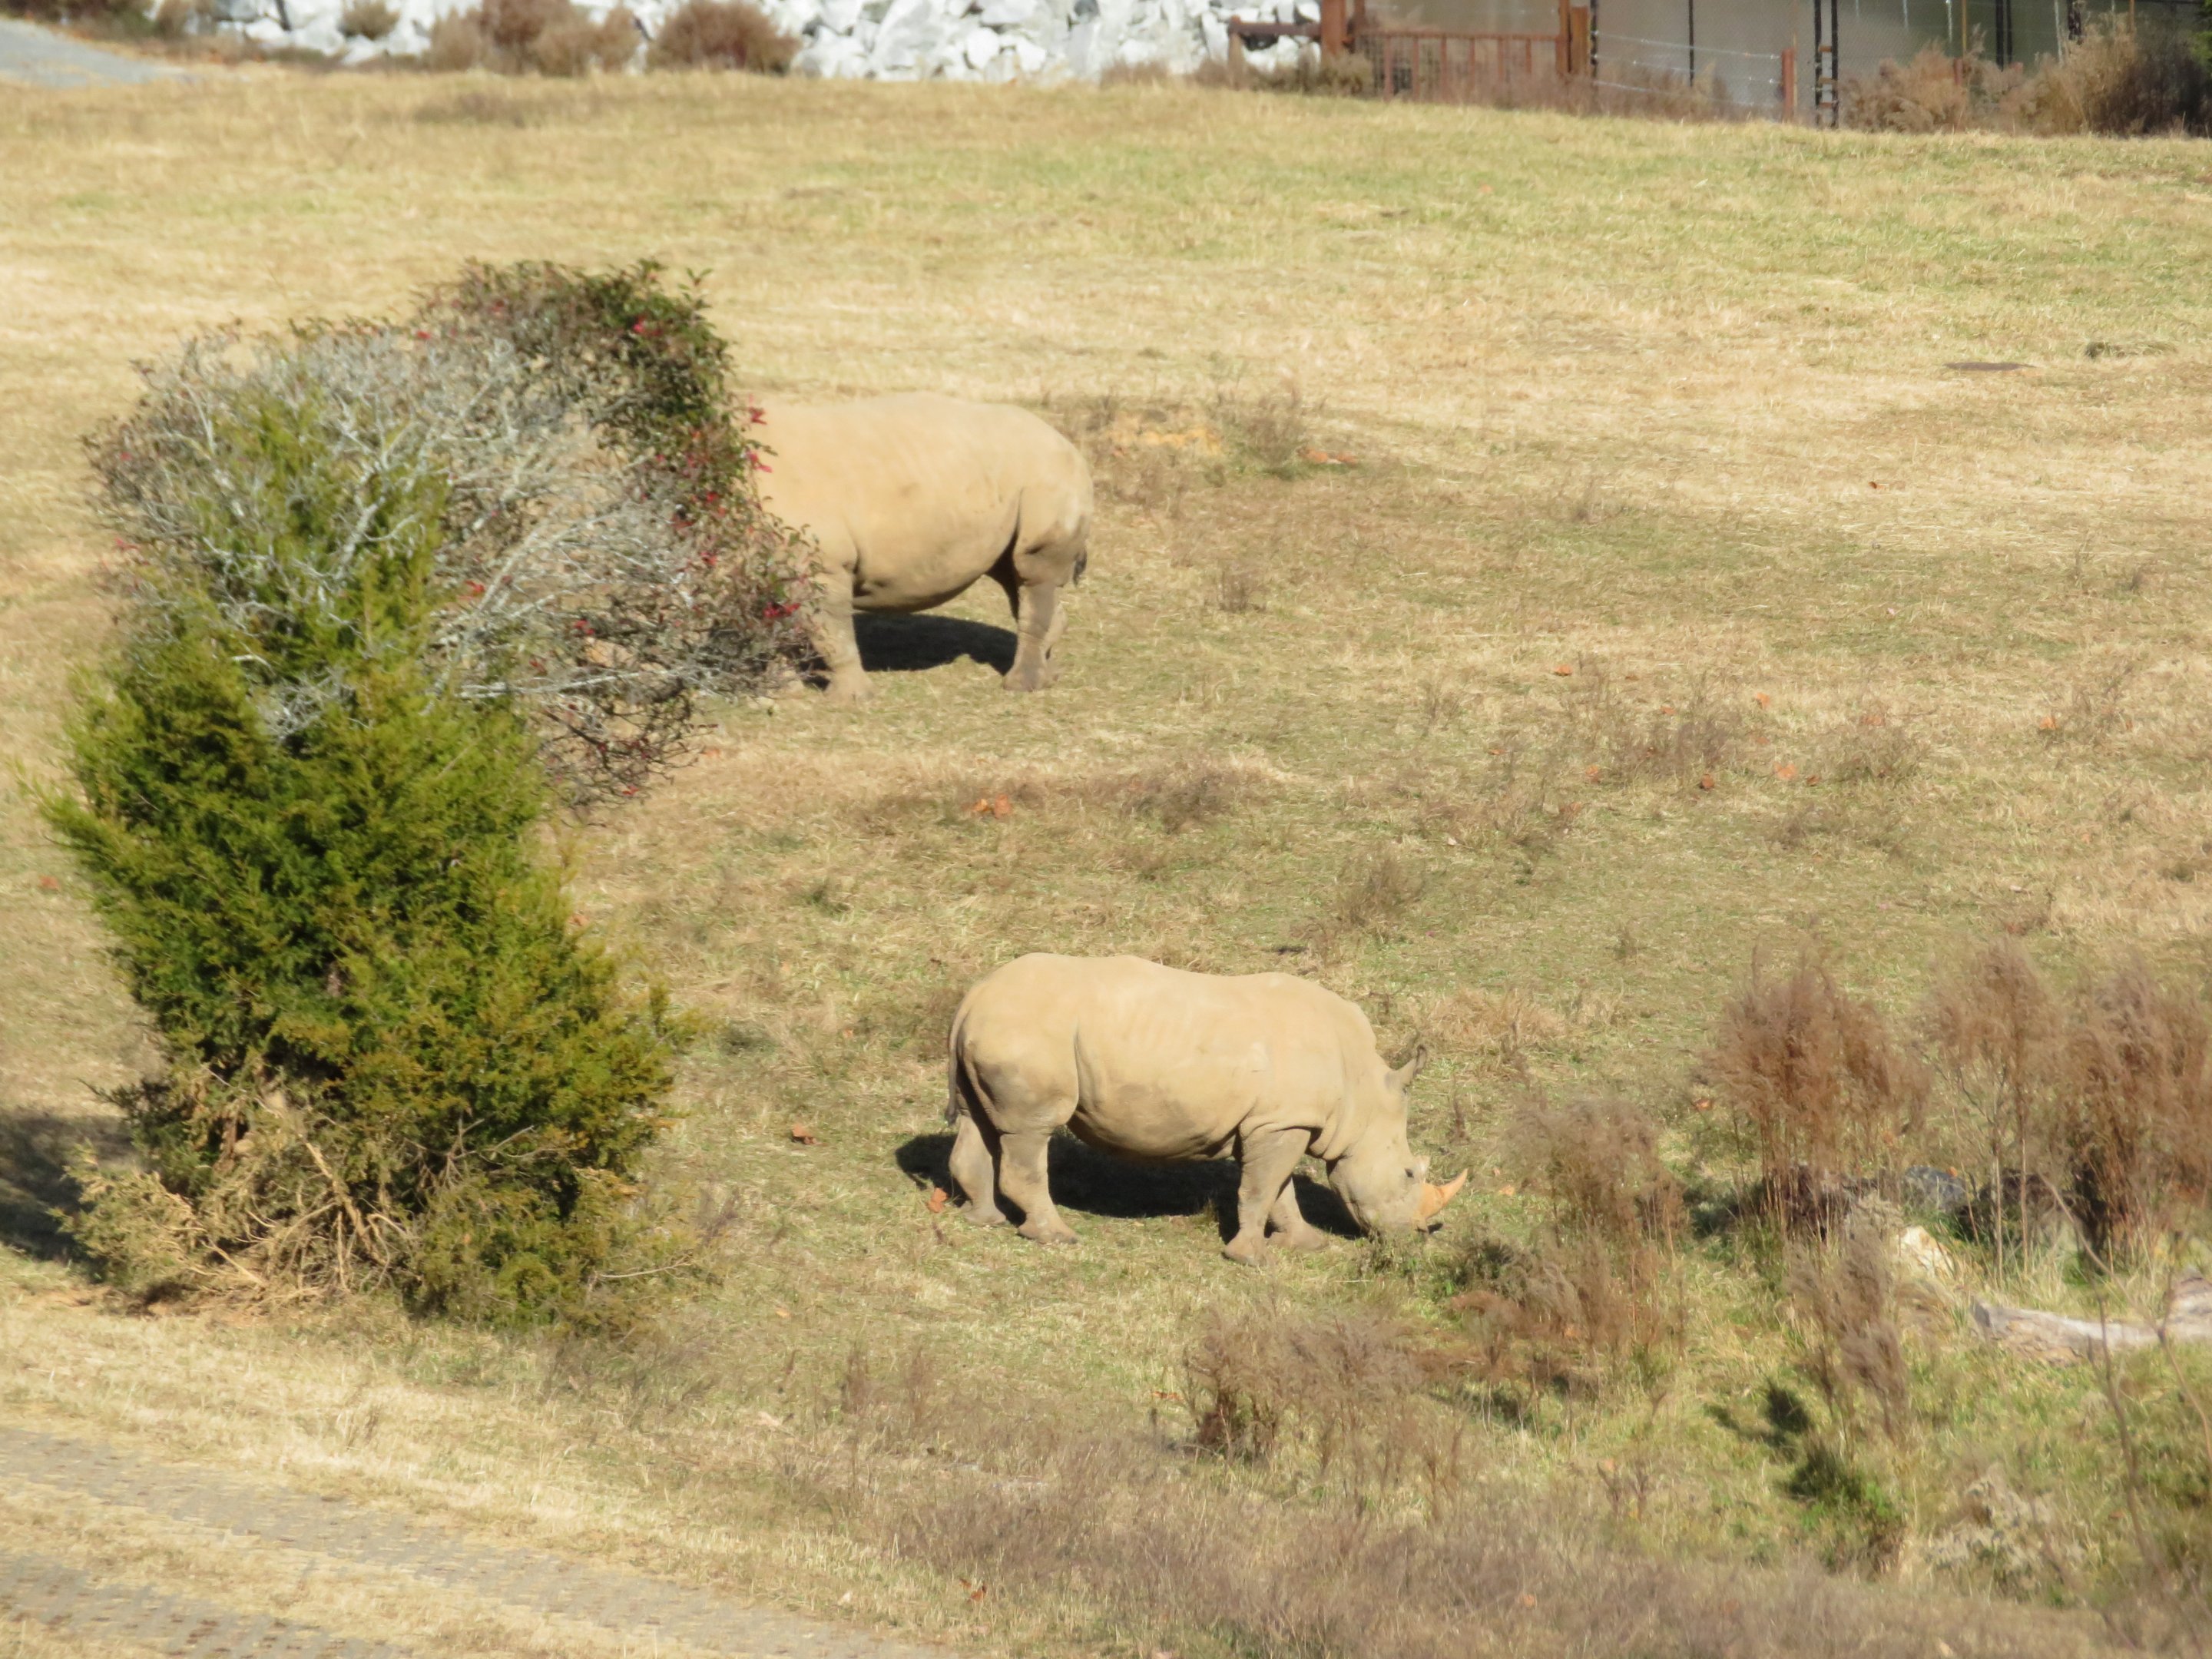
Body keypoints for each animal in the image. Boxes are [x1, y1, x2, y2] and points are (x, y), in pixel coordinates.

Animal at [751, 394, 1093, 706]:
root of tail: (1067, 443)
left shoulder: (819, 561)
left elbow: (829, 629)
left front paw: (850, 700)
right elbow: (777, 623)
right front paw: (781, 691)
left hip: (1048, 478)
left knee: (1032, 573)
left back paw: (1020, 687)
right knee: (1013, 577)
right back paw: (1050, 676)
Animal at [945, 954, 1466, 1263]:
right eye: (1408, 1175)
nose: (1417, 1237)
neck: (1360, 1092)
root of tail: (973, 997)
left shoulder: (1277, 1122)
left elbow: (1279, 1191)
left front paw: (1305, 1245)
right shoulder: (1281, 1122)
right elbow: (1261, 1189)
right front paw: (1251, 1259)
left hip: (999, 1030)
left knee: (980, 1121)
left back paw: (984, 1220)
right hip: (1027, 1035)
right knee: (1031, 1132)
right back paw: (1058, 1237)